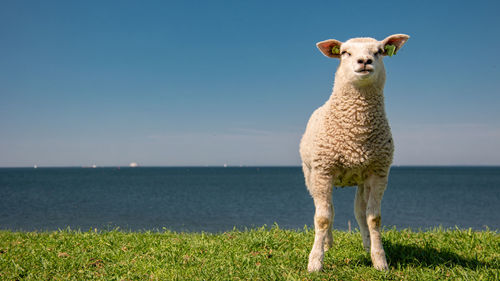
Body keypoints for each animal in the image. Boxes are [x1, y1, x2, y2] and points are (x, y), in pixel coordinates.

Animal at [298, 33, 408, 272]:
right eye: (345, 52)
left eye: (379, 51)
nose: (364, 61)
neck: (356, 132)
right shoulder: (323, 171)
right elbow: (322, 218)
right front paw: (315, 262)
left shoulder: (378, 172)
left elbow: (373, 218)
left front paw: (379, 260)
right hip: (311, 175)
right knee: (326, 209)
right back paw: (327, 244)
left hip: (361, 179)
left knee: (360, 211)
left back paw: (367, 244)